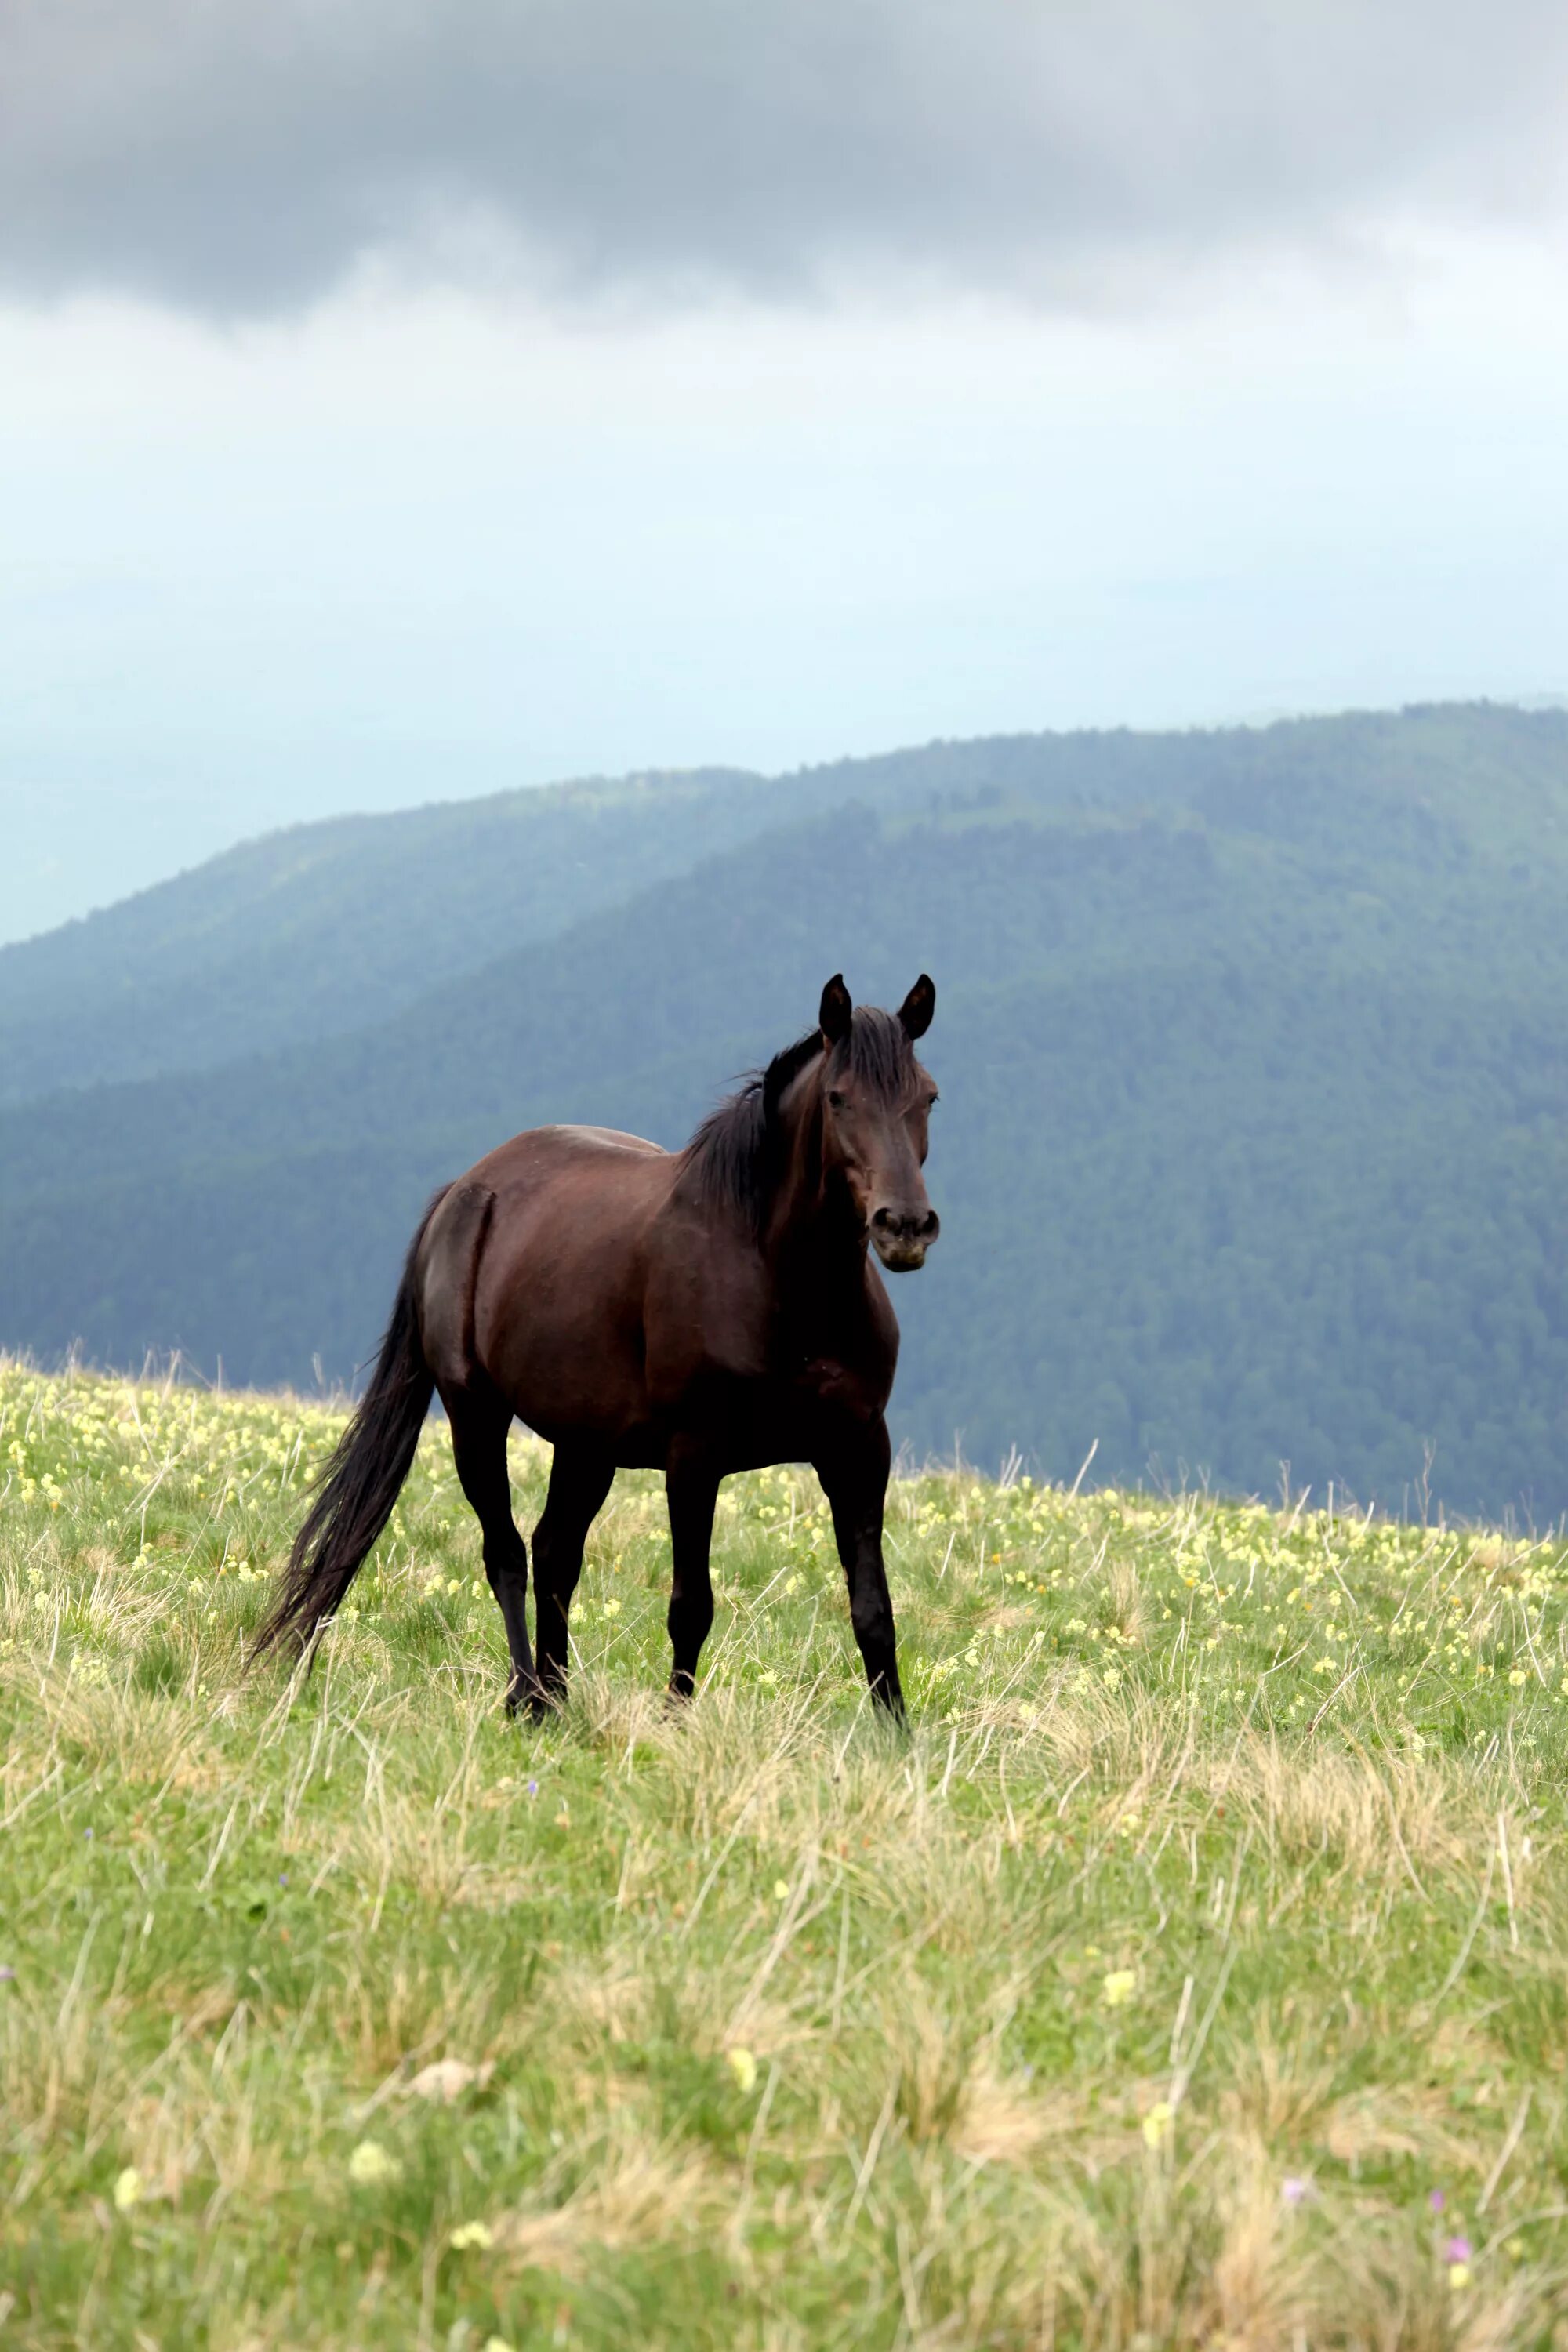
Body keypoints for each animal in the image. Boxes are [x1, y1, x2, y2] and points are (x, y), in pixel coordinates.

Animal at [258, 964, 940, 1722]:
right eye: (837, 1098)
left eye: (928, 1096)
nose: (905, 1225)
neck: (780, 1284)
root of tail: (462, 1193)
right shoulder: (694, 1457)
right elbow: (691, 1607)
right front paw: (675, 1723)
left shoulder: (858, 1450)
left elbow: (873, 1610)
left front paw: (895, 1734)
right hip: (475, 1416)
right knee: (506, 1553)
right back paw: (526, 1694)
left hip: (585, 1444)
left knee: (555, 1553)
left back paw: (555, 1698)